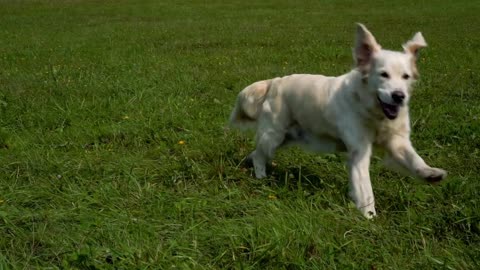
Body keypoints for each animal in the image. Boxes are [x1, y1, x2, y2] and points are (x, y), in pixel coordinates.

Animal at [229, 22, 446, 217]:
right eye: (383, 74)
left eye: (406, 76)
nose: (399, 96)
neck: (371, 109)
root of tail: (274, 81)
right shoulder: (359, 150)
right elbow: (365, 188)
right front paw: (369, 217)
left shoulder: (397, 141)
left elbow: (414, 159)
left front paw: (430, 173)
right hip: (275, 134)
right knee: (259, 154)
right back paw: (260, 176)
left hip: (287, 137)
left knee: (257, 152)